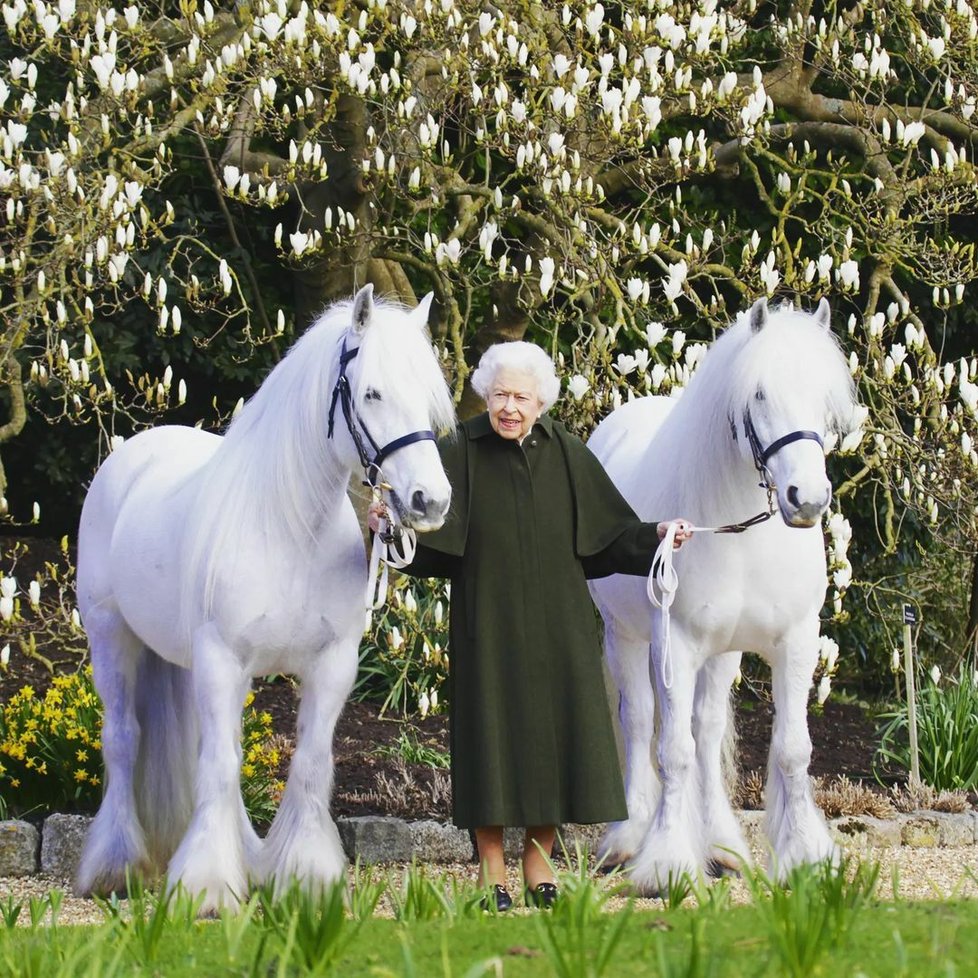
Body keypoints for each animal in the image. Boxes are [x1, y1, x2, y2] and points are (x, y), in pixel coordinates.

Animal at [74, 284, 452, 908]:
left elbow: (309, 763)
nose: (431, 501)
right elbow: (220, 766)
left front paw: (306, 876)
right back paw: (116, 866)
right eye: (372, 392)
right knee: (124, 740)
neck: (290, 529)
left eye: (427, 398)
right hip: (112, 638)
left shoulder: (331, 665)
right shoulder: (222, 659)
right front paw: (205, 886)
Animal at [588, 298, 856, 892]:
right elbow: (672, 751)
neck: (742, 533)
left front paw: (805, 856)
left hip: (723, 653)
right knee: (639, 721)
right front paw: (665, 862)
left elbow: (791, 750)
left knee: (706, 731)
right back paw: (629, 838)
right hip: (626, 637)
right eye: (758, 394)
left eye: (824, 398)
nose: (808, 499)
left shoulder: (796, 642)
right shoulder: (677, 645)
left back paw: (721, 845)